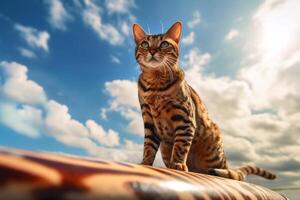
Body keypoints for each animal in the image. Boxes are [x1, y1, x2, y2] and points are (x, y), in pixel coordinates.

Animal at [134, 21, 276, 181]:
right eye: (145, 44)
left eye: (164, 44)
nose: (152, 51)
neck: (155, 86)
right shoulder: (148, 119)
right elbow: (149, 145)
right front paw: (145, 162)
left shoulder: (185, 118)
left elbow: (180, 145)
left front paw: (177, 163)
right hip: (165, 147)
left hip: (214, 152)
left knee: (234, 175)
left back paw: (217, 172)